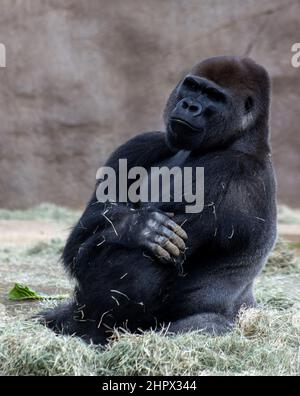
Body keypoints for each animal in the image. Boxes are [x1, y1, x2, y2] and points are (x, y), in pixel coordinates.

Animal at [39, 55, 276, 344]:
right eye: (192, 86)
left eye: (214, 96)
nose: (189, 105)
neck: (240, 140)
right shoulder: (143, 143)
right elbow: (83, 234)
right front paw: (137, 226)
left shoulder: (230, 175)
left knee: (204, 324)